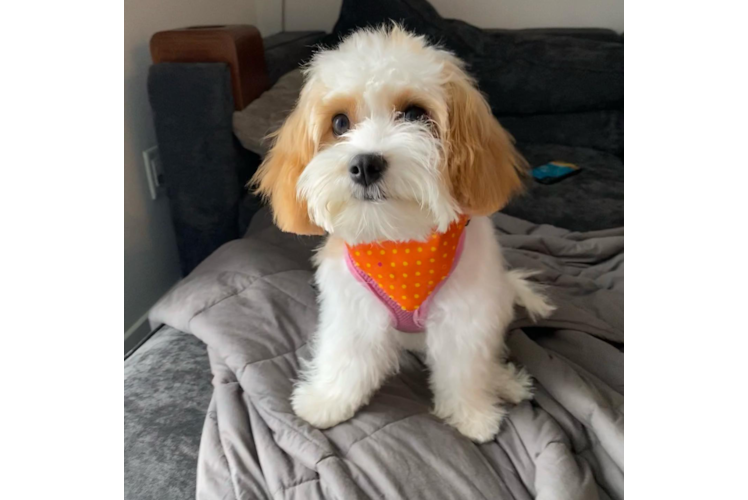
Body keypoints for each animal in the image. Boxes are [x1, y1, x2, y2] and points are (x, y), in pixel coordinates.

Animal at [254, 25, 552, 444]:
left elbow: (464, 370)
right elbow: (347, 356)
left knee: (487, 358)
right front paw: (329, 401)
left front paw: (473, 414)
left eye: (414, 114)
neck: (400, 242)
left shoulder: (465, 317)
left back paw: (503, 382)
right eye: (340, 123)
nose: (365, 164)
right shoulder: (353, 310)